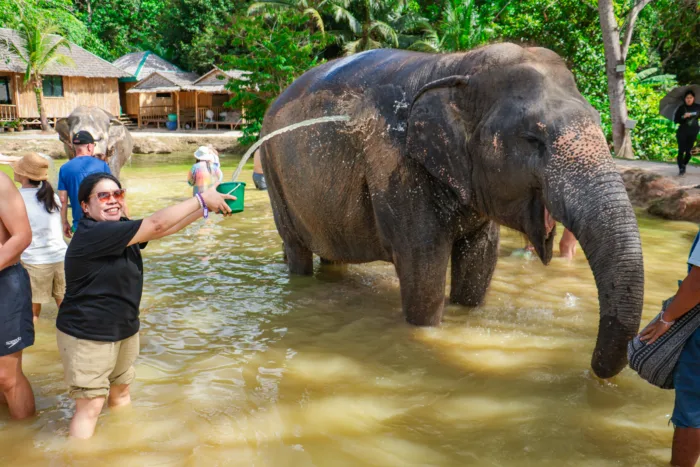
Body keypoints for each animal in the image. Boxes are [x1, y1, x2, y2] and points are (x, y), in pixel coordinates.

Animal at [260, 44, 644, 379]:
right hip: (273, 173)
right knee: (296, 249)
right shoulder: (395, 166)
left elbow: (479, 265)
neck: (456, 65)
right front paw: (426, 331)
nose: (593, 369)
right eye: (533, 139)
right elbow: (424, 272)